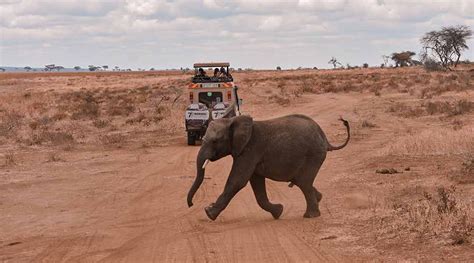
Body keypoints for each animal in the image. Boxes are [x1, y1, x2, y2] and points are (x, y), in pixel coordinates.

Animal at [187, 115, 350, 221]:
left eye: (215, 141)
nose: (191, 204)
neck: (233, 120)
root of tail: (325, 138)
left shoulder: (250, 150)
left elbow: (237, 181)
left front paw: (208, 213)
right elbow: (257, 185)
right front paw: (278, 211)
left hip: (313, 154)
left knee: (304, 182)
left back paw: (310, 216)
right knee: (301, 181)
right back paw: (318, 198)